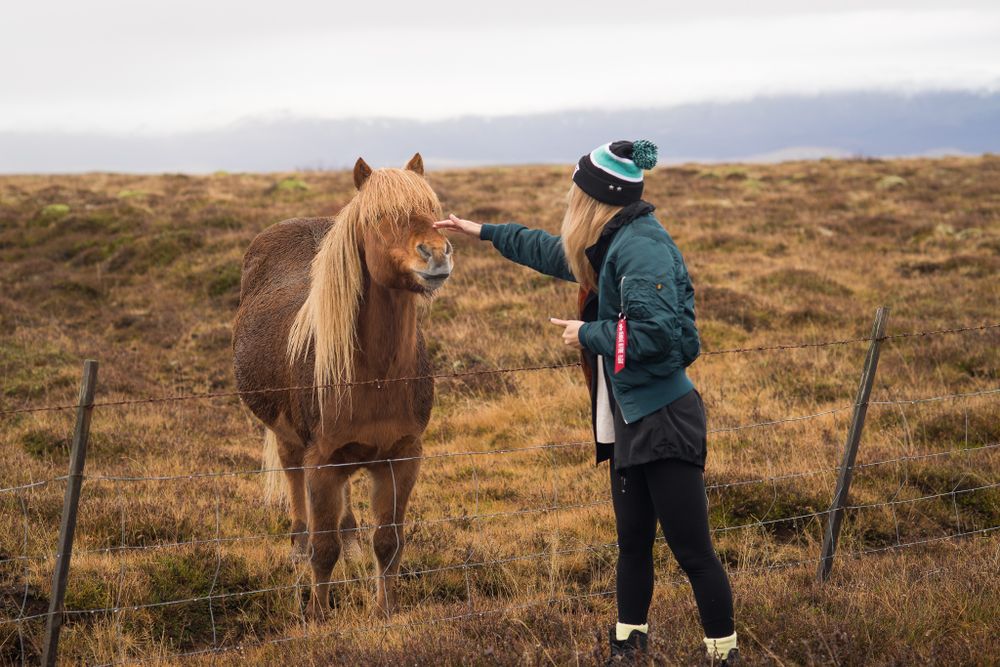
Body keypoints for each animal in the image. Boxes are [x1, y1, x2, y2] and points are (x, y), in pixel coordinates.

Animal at [232, 154, 452, 618]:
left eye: (434, 210)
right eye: (379, 217)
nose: (436, 255)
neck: (377, 377)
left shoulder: (402, 458)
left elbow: (388, 542)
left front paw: (385, 611)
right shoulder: (321, 461)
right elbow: (324, 548)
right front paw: (318, 614)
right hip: (290, 439)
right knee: (294, 478)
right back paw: (297, 546)